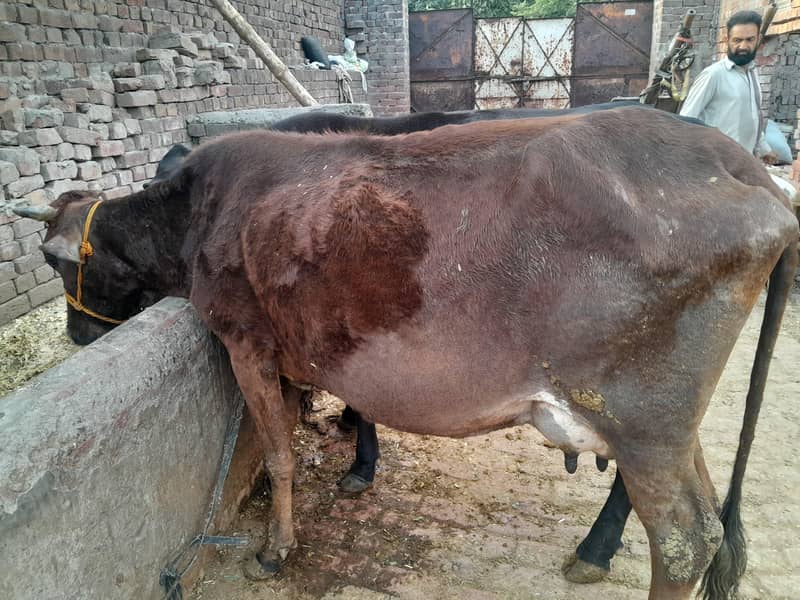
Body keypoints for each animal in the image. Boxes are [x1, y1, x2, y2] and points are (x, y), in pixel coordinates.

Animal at [15, 107, 797, 599]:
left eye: (55, 259)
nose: (78, 337)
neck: (197, 212)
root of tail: (739, 164)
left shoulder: (244, 341)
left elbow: (277, 450)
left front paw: (274, 548)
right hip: (662, 425)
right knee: (704, 516)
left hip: (641, 417)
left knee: (686, 537)